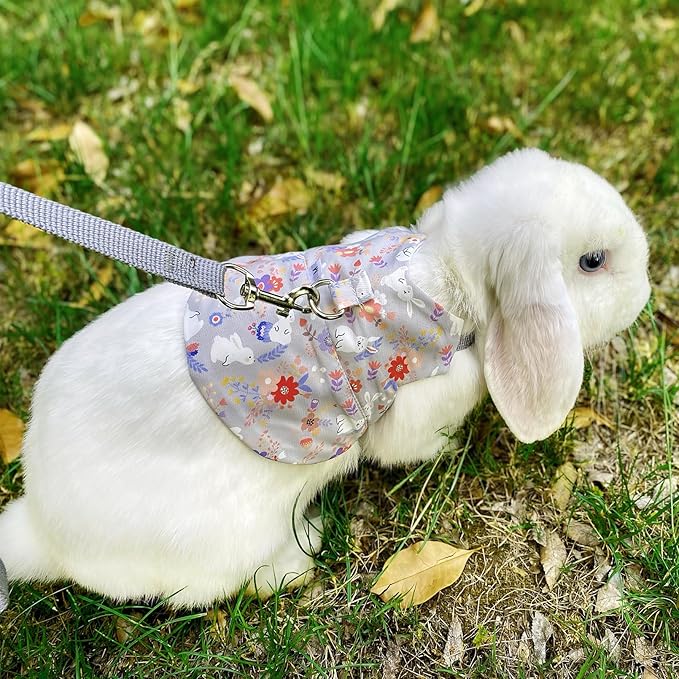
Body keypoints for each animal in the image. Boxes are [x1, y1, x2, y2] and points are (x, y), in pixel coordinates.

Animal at [0, 149, 650, 611]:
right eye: (593, 262)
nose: (645, 292)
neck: (441, 274)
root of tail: (41, 527)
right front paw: (451, 449)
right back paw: (305, 547)